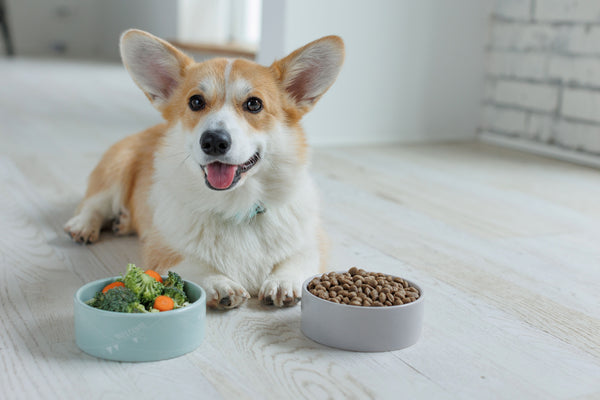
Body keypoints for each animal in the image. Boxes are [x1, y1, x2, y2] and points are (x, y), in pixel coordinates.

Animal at [63, 28, 344, 310]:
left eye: (254, 104)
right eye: (196, 102)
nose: (214, 141)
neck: (237, 207)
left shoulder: (313, 242)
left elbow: (298, 258)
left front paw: (282, 281)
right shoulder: (162, 250)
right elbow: (190, 264)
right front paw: (219, 283)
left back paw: (122, 222)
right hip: (117, 166)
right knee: (93, 204)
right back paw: (84, 225)